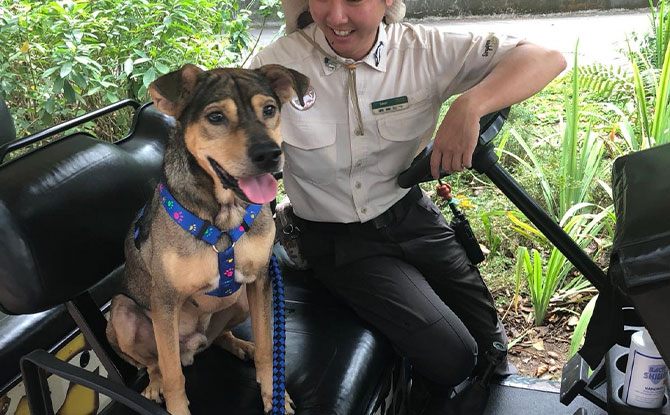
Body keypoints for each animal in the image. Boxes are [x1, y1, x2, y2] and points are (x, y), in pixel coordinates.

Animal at [107, 63, 310, 414]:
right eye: (216, 117)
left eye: (269, 110)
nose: (270, 154)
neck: (224, 215)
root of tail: (193, 347)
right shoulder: (165, 299)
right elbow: (173, 375)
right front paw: (176, 406)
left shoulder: (260, 280)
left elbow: (268, 345)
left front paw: (273, 393)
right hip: (121, 314)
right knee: (157, 363)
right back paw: (154, 384)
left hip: (239, 301)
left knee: (219, 337)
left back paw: (240, 345)